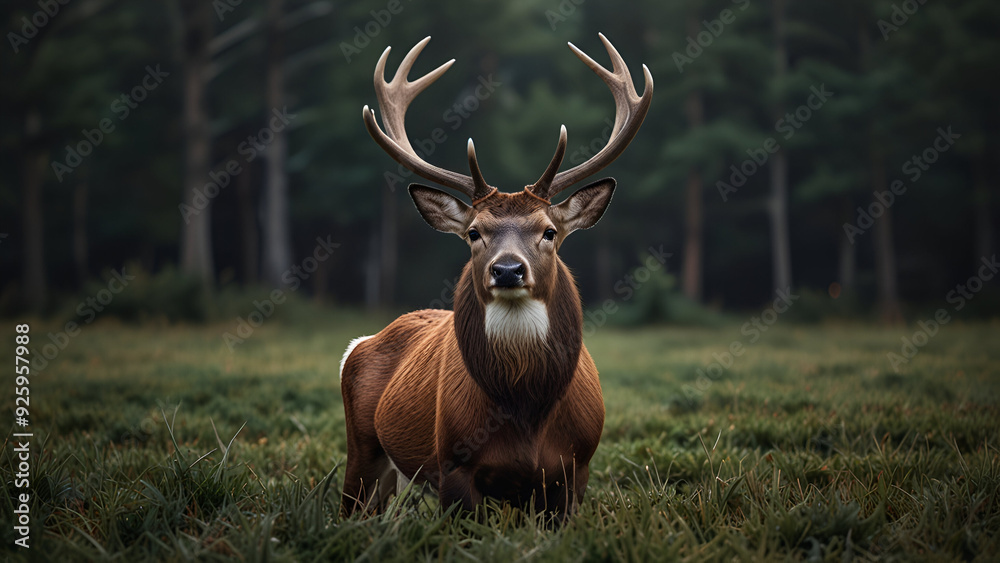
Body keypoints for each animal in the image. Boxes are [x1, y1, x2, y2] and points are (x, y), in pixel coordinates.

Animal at [339, 33, 652, 519]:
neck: (525, 415)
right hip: (362, 446)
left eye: (549, 231)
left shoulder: (576, 466)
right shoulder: (452, 463)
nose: (507, 269)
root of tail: (362, 343)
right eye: (474, 232)